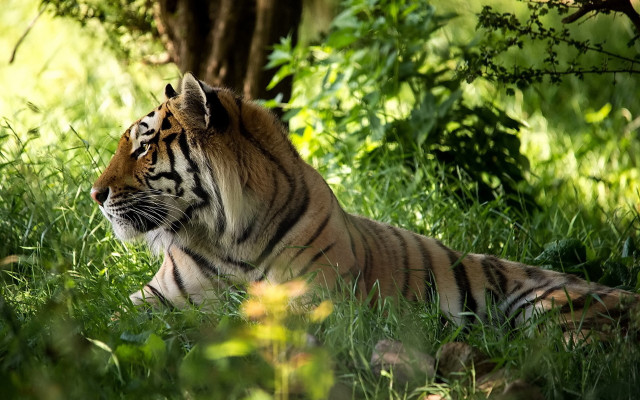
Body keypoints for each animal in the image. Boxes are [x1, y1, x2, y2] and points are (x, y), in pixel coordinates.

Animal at [91, 73, 638, 336]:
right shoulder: (153, 300)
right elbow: (108, 324)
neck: (227, 238)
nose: (95, 196)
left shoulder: (314, 303)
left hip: (551, 311)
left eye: (143, 147)